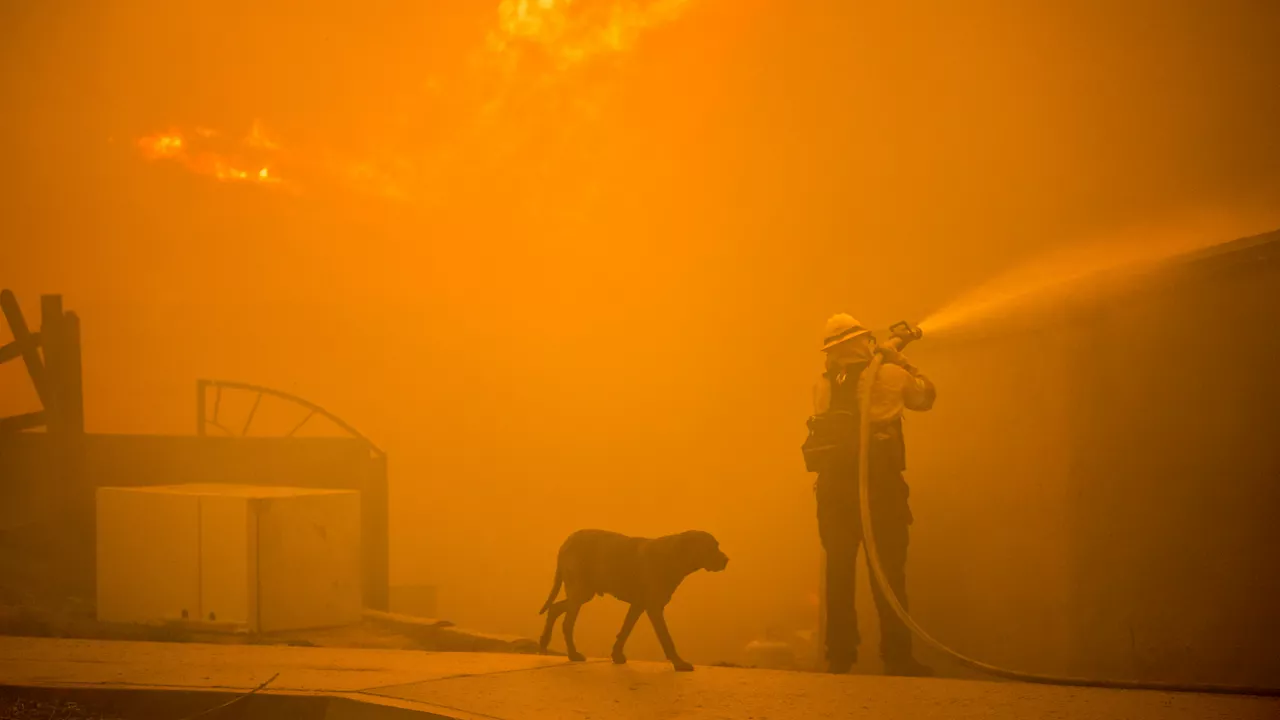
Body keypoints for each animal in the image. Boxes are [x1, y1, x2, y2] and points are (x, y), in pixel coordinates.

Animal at [535, 525, 727, 671]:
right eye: (712, 547)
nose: (727, 560)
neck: (674, 555)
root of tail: (567, 542)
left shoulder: (638, 605)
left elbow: (626, 630)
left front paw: (617, 654)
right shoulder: (654, 607)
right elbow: (666, 637)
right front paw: (679, 663)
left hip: (583, 593)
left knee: (555, 608)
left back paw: (544, 643)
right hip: (580, 591)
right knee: (567, 623)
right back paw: (572, 654)